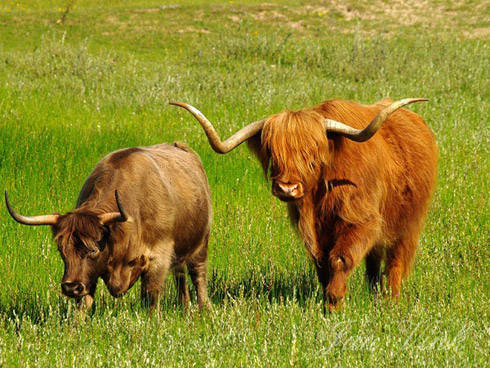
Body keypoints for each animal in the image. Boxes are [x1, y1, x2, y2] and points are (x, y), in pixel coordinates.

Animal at [5, 142, 212, 314]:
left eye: (93, 249)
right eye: (61, 250)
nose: (71, 287)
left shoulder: (158, 258)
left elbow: (151, 298)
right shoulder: (87, 276)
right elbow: (84, 302)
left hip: (201, 244)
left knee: (197, 275)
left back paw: (204, 309)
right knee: (181, 276)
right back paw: (185, 307)